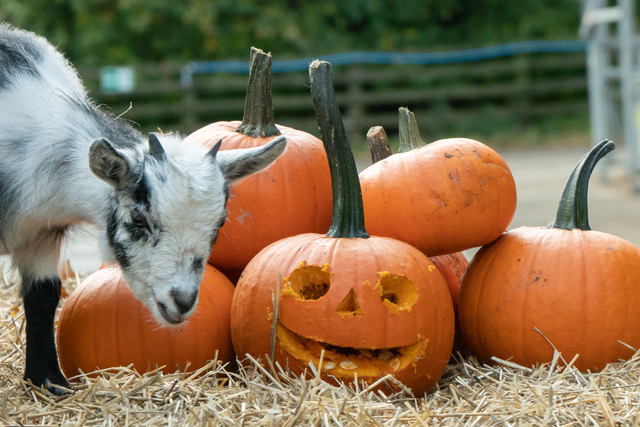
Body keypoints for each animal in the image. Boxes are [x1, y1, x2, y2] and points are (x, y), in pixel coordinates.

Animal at [0, 24, 284, 394]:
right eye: (138, 218)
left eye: (220, 223)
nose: (182, 300)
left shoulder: (40, 235)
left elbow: (43, 296)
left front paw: (49, 383)